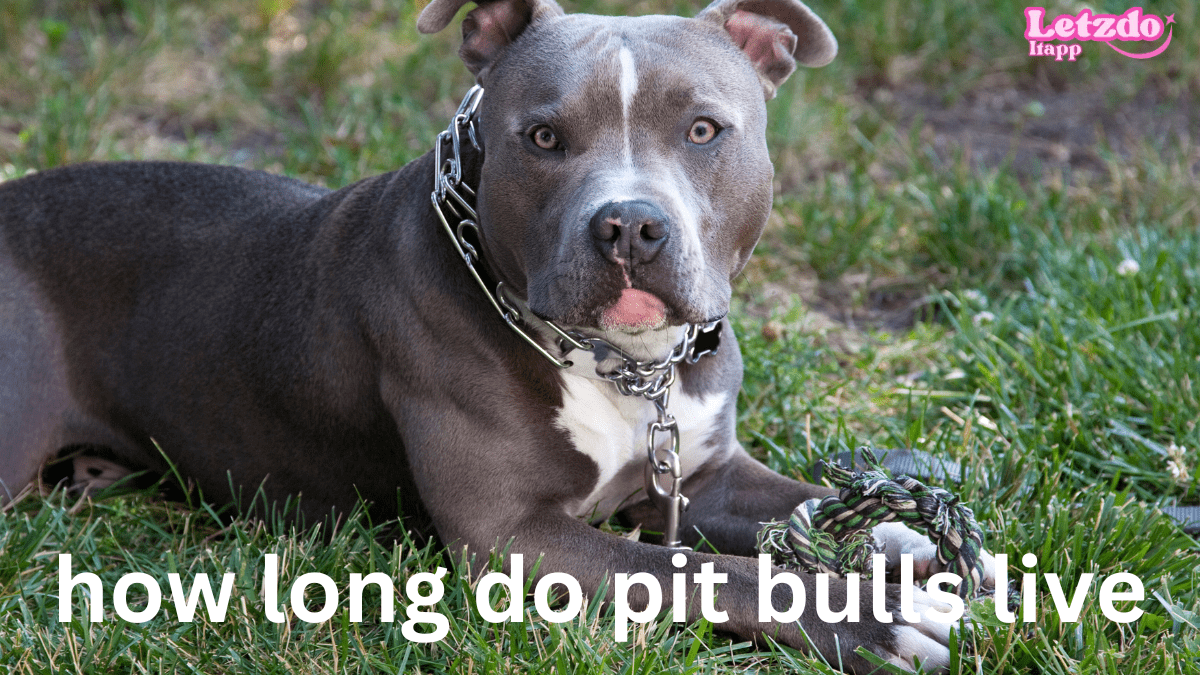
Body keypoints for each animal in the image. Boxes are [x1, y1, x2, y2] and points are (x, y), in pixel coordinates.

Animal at [0, 1, 993, 667]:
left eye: (705, 128)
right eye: (544, 137)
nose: (630, 226)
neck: (622, 368)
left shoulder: (705, 474)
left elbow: (802, 506)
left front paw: (910, 547)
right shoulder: (512, 536)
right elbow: (708, 570)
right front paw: (877, 618)